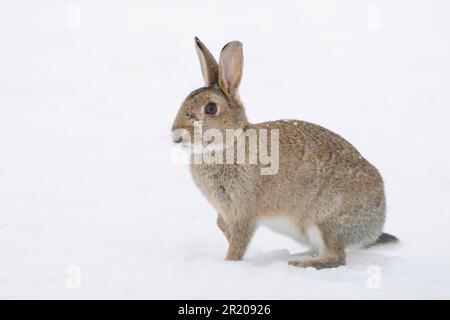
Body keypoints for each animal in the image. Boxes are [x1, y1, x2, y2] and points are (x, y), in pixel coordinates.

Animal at [170, 36, 398, 268]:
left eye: (211, 108)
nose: (176, 135)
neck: (229, 142)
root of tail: (375, 227)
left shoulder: (244, 211)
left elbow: (239, 241)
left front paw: (230, 263)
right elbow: (222, 226)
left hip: (323, 221)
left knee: (336, 256)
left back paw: (299, 263)